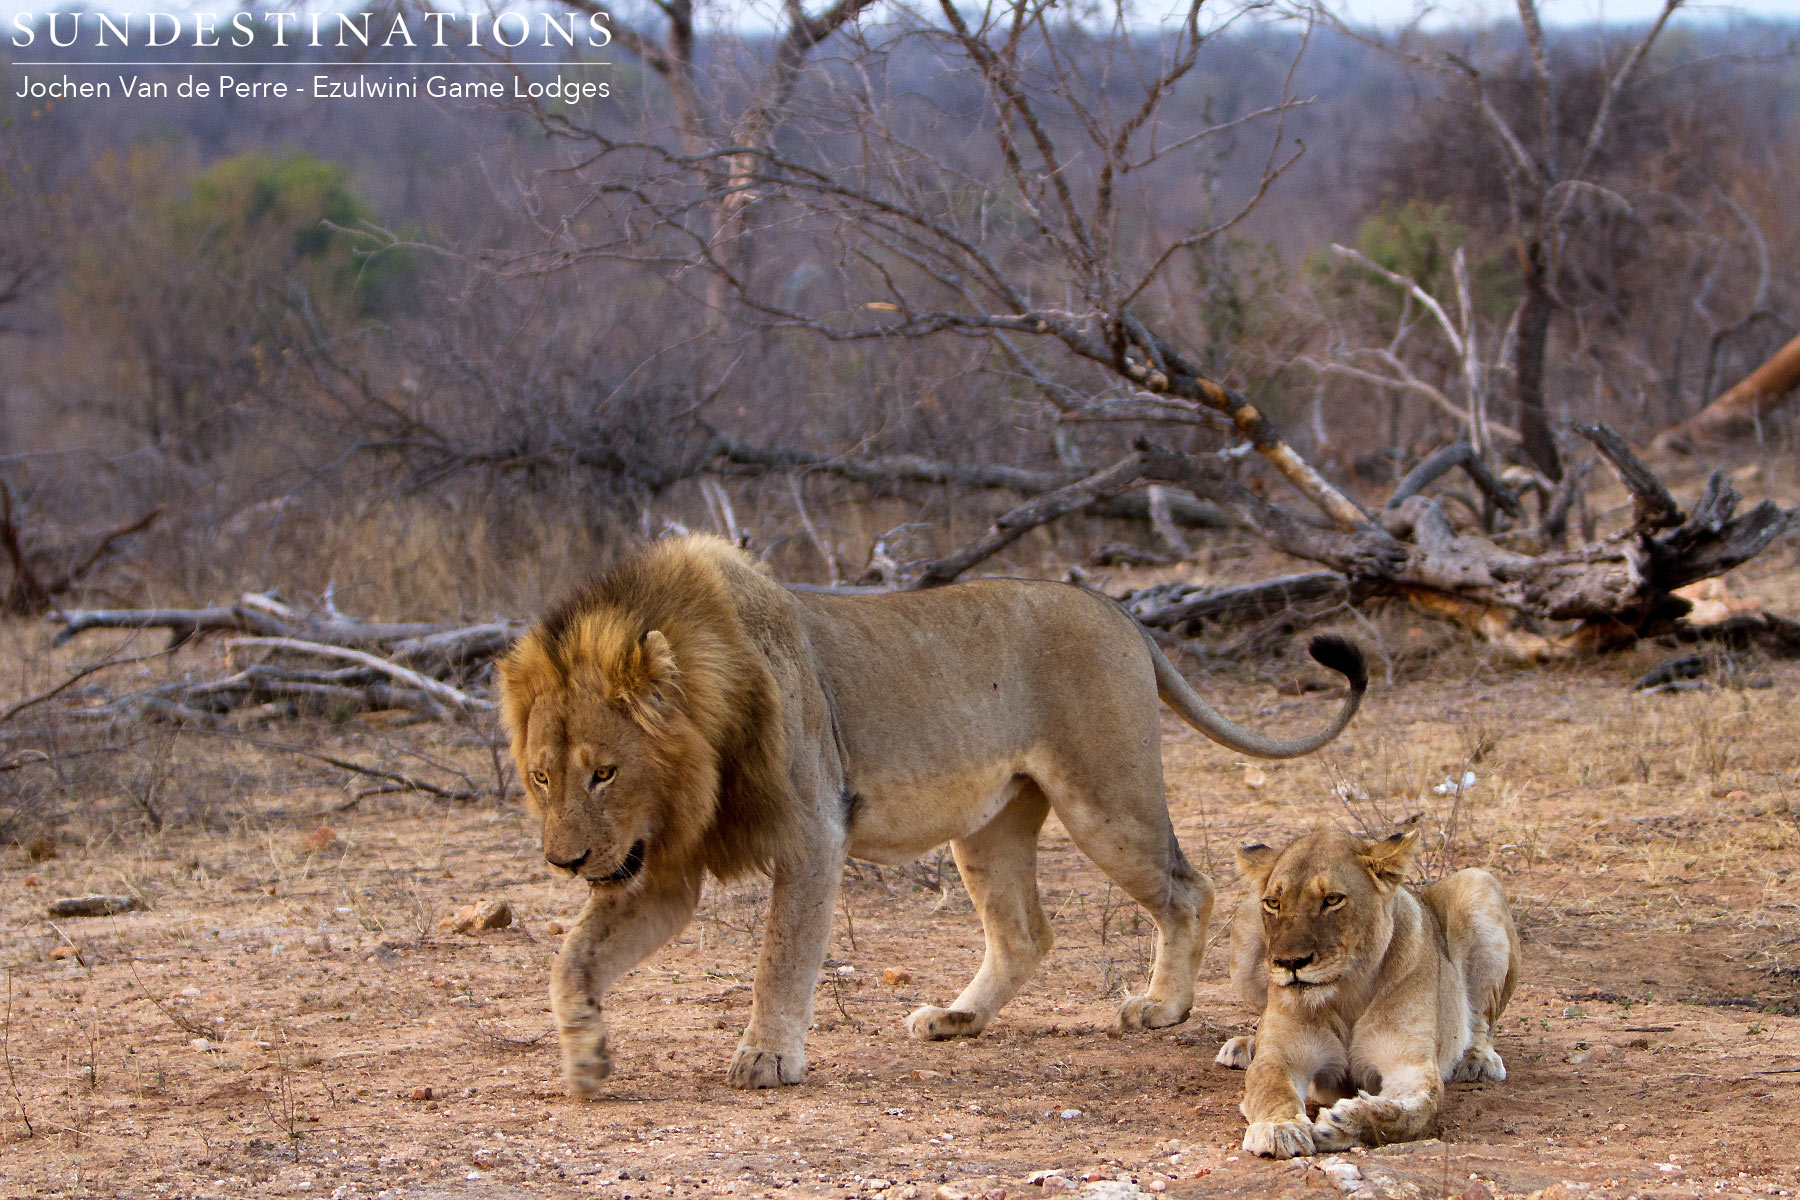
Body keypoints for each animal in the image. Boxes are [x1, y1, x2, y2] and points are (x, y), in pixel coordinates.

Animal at [496, 535, 1366, 1094]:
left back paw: (1162, 1007)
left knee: (1189, 889)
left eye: (604, 773)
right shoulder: (659, 866)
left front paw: (768, 1060)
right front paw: (585, 1060)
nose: (563, 863)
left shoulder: (813, 834)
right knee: (1024, 934)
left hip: (1105, 797)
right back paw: (956, 1019)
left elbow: (783, 957)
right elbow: (573, 959)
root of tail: (1117, 610)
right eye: (541, 777)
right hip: (989, 826)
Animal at [1215, 827, 1520, 1158]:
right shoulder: (1282, 1055)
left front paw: (1346, 1123)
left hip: (1479, 882)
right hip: (1243, 926)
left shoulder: (1409, 1064)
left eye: (1332, 899)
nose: (1289, 963)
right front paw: (1279, 1128)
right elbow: (1272, 1088)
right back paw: (1245, 1046)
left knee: (1481, 1021)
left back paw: (1478, 1060)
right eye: (1273, 903)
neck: (1348, 991)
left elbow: (1415, 1112)